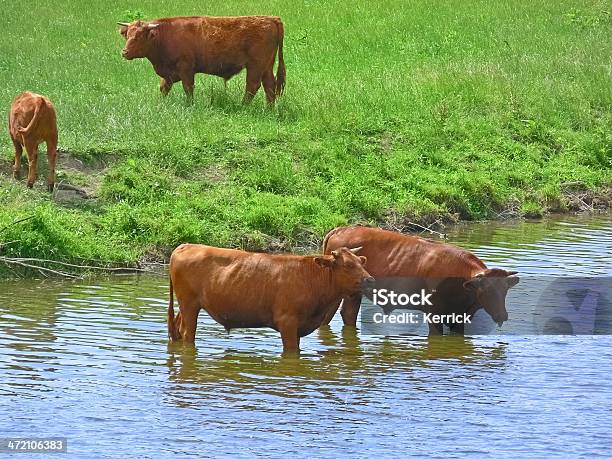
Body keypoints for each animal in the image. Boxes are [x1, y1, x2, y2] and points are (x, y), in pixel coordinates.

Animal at [119, 15, 286, 104]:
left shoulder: (186, 69)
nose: (124, 52)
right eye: (128, 35)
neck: (163, 37)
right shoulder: (169, 74)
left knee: (252, 85)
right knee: (269, 85)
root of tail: (271, 18)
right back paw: (269, 109)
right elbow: (164, 88)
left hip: (255, 66)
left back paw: (242, 106)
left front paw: (189, 105)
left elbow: (188, 88)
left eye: (139, 36)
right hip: (266, 66)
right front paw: (161, 104)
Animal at [166, 246, 372, 354]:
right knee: (187, 333)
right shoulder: (287, 322)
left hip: (187, 306)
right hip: (189, 304)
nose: (370, 280)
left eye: (361, 262)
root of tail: (185, 245)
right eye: (347, 265)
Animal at [322, 226, 520, 334]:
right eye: (486, 290)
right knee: (346, 314)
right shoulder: (434, 314)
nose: (503, 315)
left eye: (505, 290)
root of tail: (342, 229)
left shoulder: (458, 319)